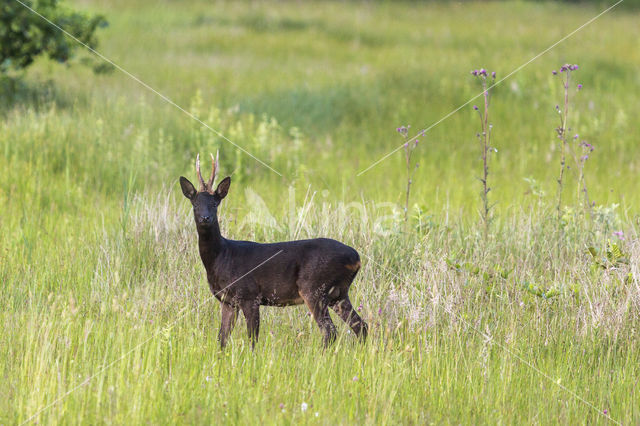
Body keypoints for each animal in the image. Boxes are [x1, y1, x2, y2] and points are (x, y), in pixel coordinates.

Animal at [180, 154, 370, 350]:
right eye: (195, 204)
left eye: (215, 204)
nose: (205, 218)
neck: (222, 257)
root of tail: (356, 258)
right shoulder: (228, 301)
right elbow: (222, 338)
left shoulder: (249, 295)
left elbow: (252, 338)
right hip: (338, 293)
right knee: (360, 325)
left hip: (314, 287)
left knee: (330, 330)